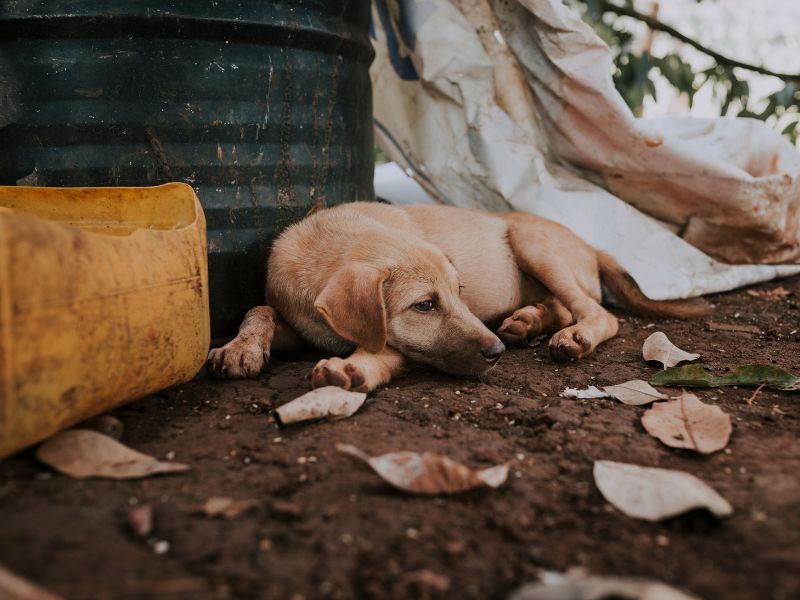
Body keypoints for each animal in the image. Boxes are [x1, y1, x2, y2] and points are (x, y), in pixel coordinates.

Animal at [206, 202, 708, 390]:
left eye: (459, 293)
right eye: (425, 305)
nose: (496, 353)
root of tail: (590, 245)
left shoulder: (397, 345)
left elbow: (381, 350)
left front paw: (352, 368)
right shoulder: (300, 320)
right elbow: (260, 307)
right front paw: (240, 347)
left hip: (531, 241)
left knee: (598, 312)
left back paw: (571, 336)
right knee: (566, 306)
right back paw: (528, 321)